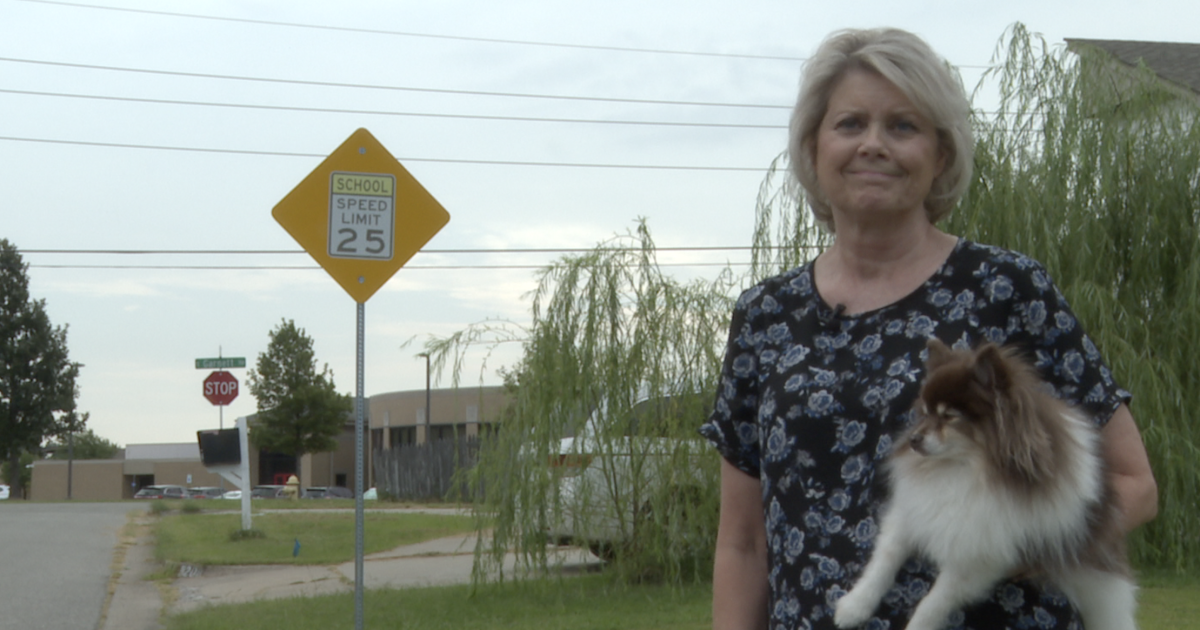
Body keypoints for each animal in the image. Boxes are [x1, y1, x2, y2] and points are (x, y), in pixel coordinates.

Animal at [835, 340, 1132, 624]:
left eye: (948, 416)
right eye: (925, 412)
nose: (913, 440)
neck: (967, 469)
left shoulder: (977, 556)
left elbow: (933, 603)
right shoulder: (912, 513)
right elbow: (884, 561)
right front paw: (853, 607)